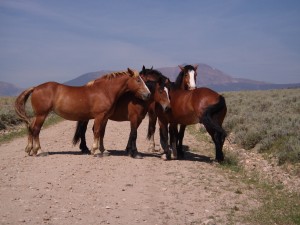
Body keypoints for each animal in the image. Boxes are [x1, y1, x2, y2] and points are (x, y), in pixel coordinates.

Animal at [14, 68, 151, 156]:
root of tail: (36, 88)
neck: (104, 90)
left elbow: (102, 133)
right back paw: (39, 151)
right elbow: (96, 131)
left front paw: (103, 150)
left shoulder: (105, 117)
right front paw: (95, 150)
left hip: (38, 115)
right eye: (138, 80)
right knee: (36, 130)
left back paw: (30, 149)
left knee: (31, 128)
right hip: (41, 115)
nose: (148, 94)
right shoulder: (99, 116)